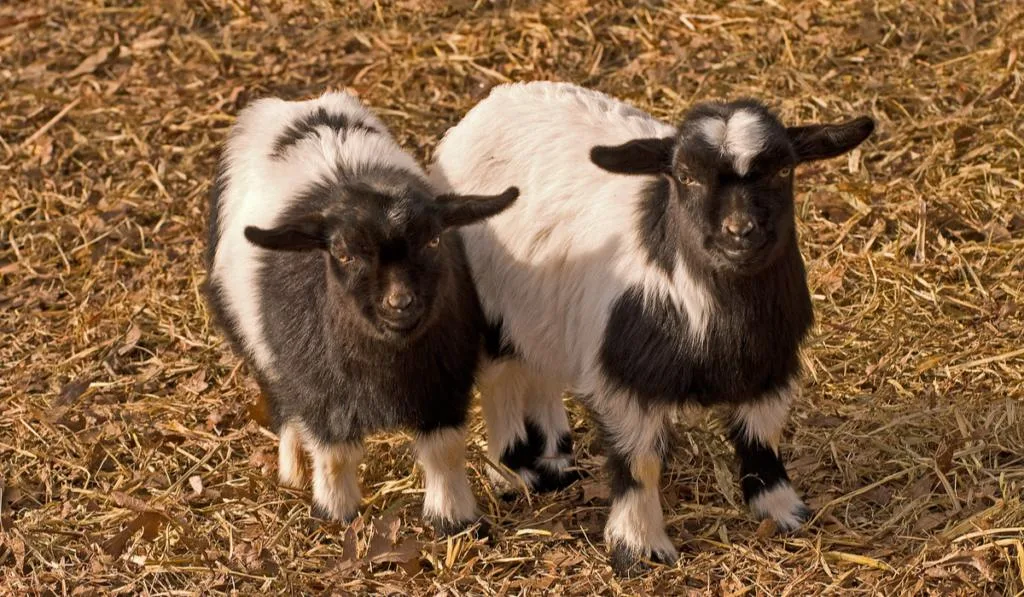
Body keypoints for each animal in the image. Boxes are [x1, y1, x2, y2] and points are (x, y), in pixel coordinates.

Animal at [203, 91, 516, 536]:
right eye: (343, 253)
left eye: (434, 240)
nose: (400, 302)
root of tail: (299, 105)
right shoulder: (320, 390)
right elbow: (335, 455)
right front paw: (336, 511)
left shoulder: (444, 383)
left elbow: (444, 451)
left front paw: (453, 517)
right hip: (254, 345)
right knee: (281, 404)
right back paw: (293, 468)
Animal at [428, 81, 876, 577]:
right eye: (685, 175)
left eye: (783, 169)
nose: (739, 232)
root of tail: (497, 99)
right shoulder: (628, 380)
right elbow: (639, 464)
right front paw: (639, 546)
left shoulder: (769, 364)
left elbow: (762, 437)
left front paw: (782, 510)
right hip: (489, 301)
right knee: (502, 377)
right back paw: (513, 471)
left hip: (544, 306)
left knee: (540, 364)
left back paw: (555, 461)